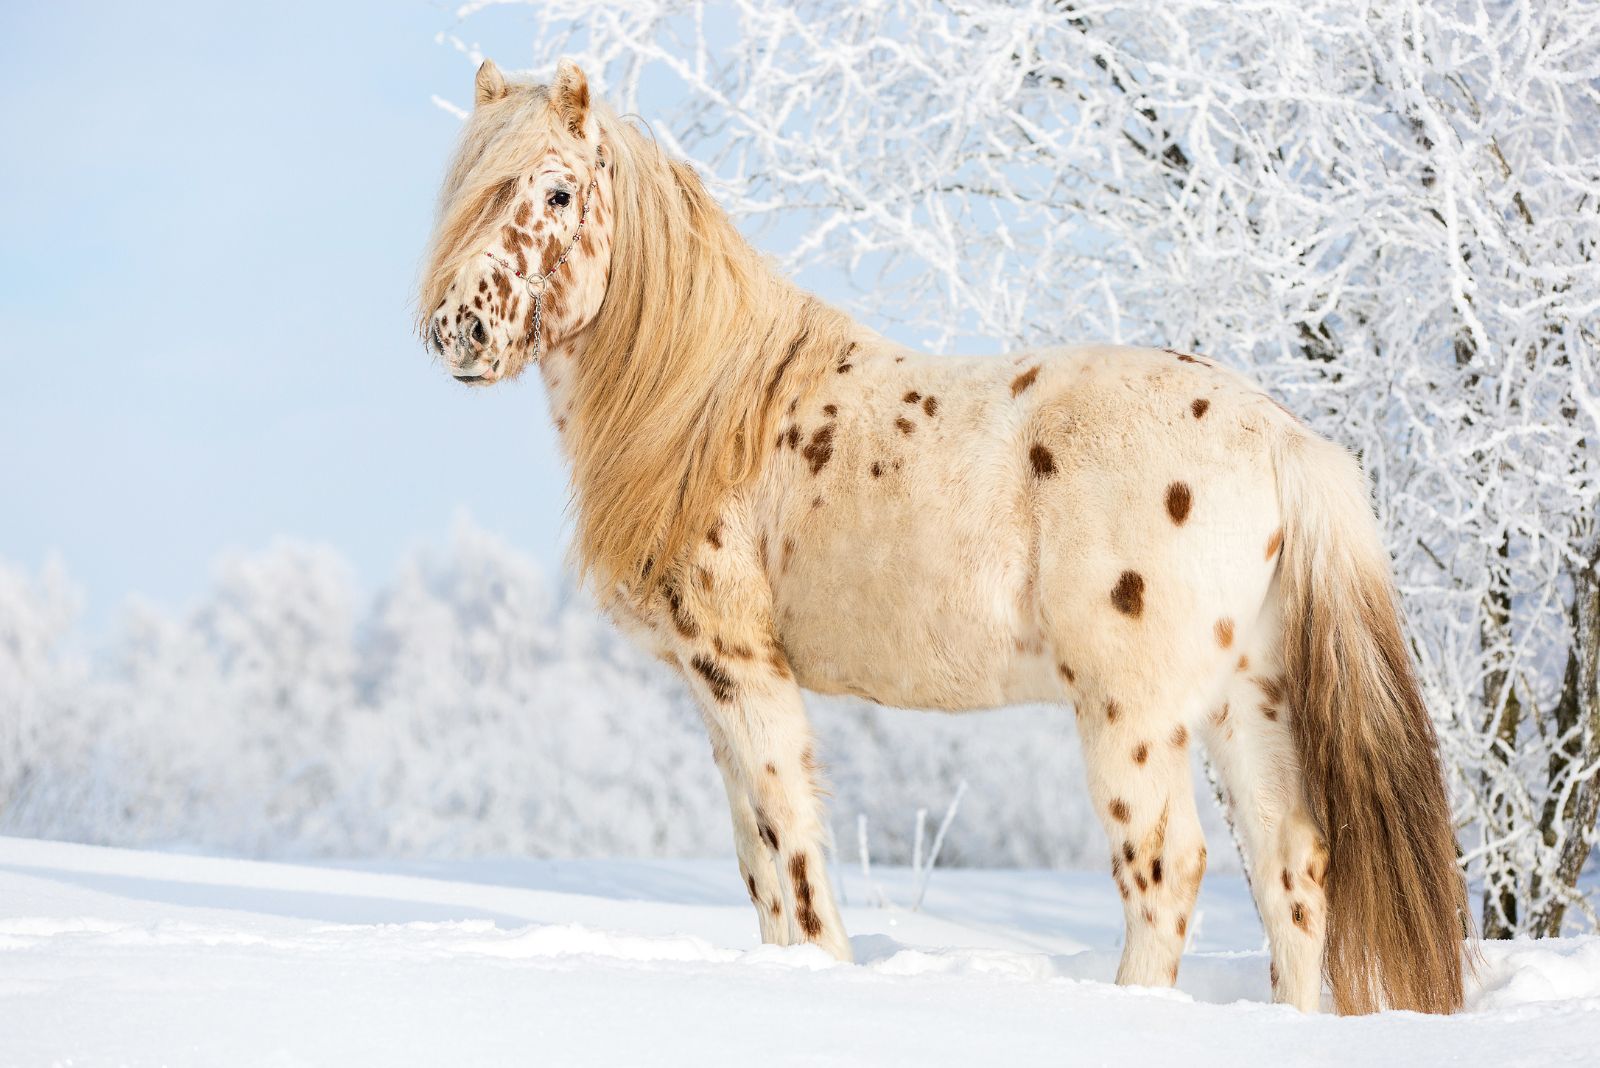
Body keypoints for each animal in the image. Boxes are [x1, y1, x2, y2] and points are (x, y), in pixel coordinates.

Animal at [419, 60, 1465, 1016]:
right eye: (467, 185)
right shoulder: (711, 688)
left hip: (1134, 714)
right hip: (1248, 702)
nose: (458, 328)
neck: (715, 413)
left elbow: (792, 849)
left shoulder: (741, 668)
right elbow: (758, 861)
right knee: (1292, 867)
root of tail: (1283, 439)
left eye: (558, 190)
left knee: (1166, 868)